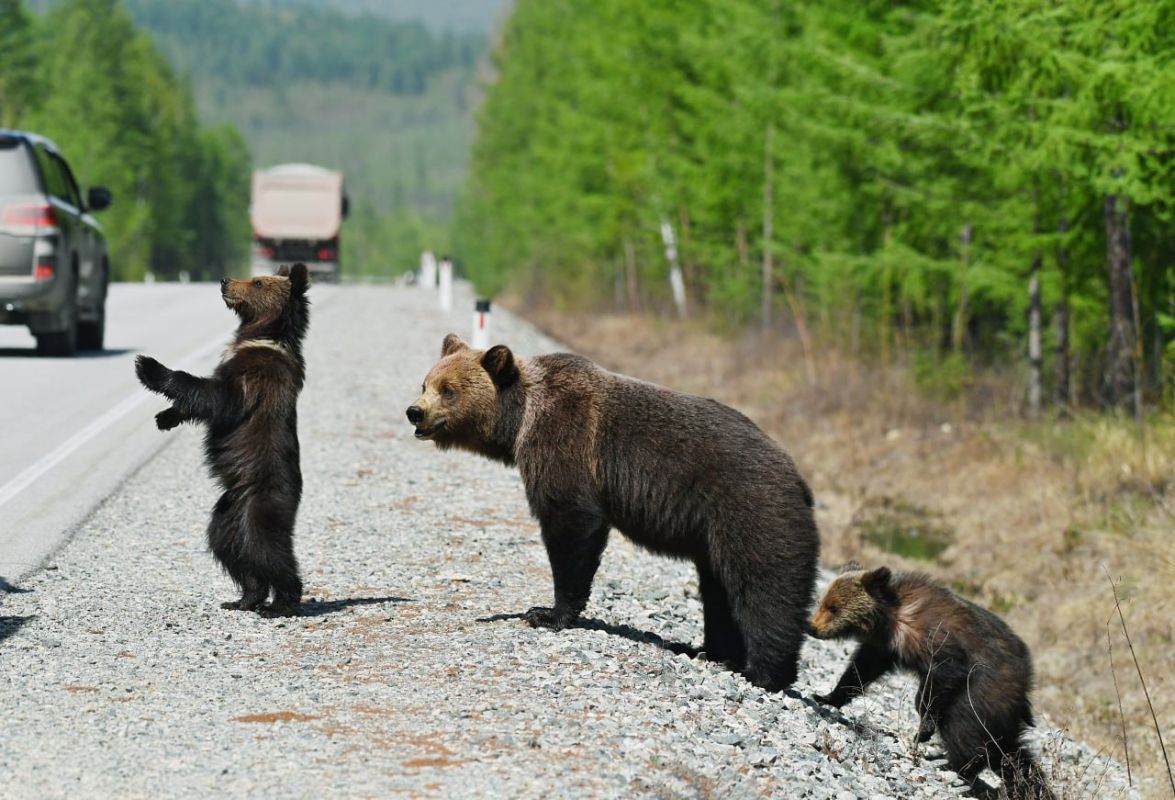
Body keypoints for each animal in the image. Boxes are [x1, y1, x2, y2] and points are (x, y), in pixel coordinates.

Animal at [135, 263, 310, 617]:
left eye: (258, 282)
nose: (225, 281)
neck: (263, 336)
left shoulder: (255, 378)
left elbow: (216, 397)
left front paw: (148, 366)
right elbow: (205, 401)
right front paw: (165, 418)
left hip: (263, 503)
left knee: (267, 549)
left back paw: (281, 603)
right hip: (227, 511)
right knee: (228, 547)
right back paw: (244, 598)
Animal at [406, 334, 820, 691]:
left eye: (448, 389)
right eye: (425, 383)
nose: (415, 412)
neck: (521, 420)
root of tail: (798, 478)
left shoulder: (566, 443)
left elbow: (571, 524)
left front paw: (546, 613)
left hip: (750, 509)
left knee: (764, 587)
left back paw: (762, 672)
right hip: (716, 534)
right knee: (719, 591)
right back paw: (707, 651)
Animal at [809, 565, 1054, 800]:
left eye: (833, 607)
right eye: (823, 602)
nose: (813, 627)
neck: (891, 618)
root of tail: (1026, 685)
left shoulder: (936, 640)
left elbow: (942, 677)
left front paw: (923, 728)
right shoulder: (885, 648)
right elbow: (860, 670)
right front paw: (826, 696)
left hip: (985, 692)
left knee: (964, 727)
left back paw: (956, 766)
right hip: (1003, 714)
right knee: (1011, 752)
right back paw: (1034, 787)